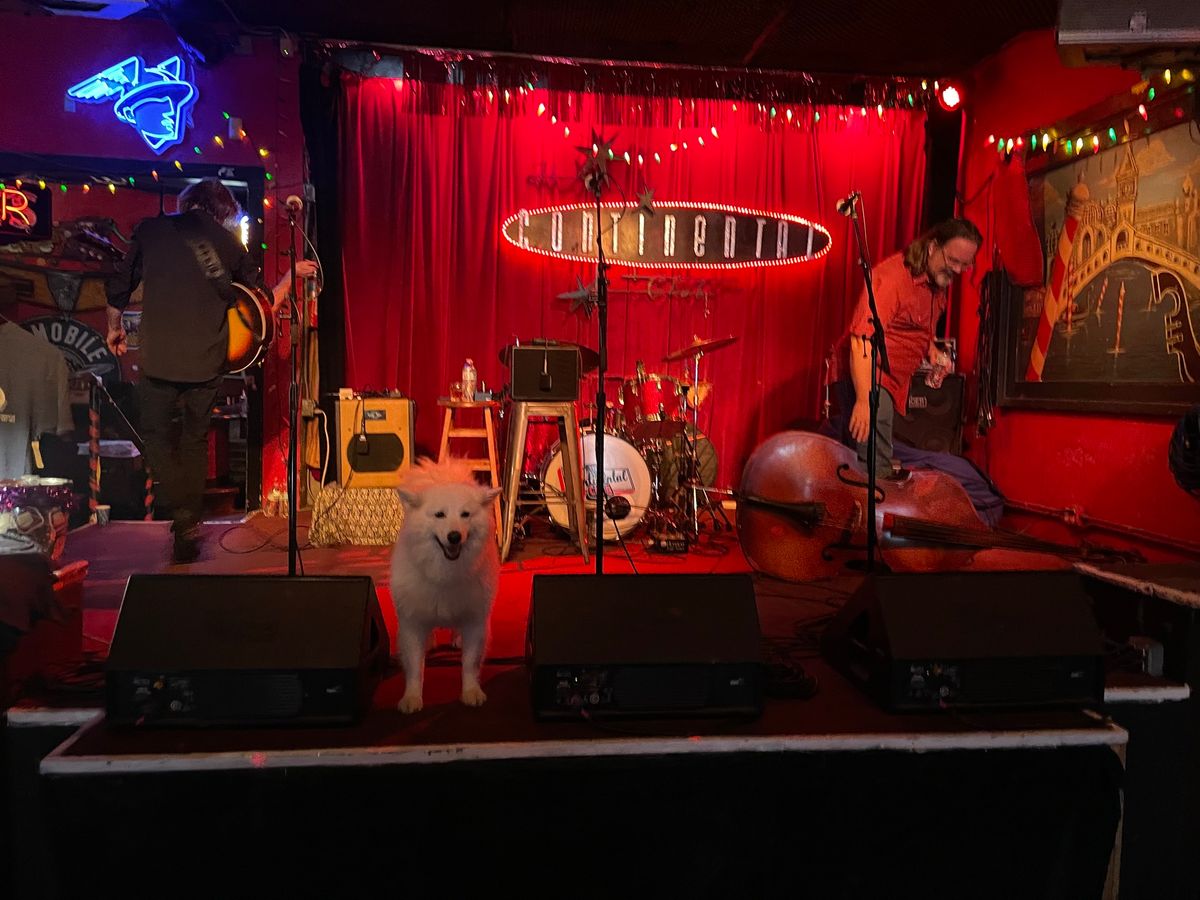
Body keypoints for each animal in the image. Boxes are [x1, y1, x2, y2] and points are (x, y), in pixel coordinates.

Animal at [391, 460, 499, 715]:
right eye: (439, 515)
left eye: (465, 514)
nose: (454, 536)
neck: (444, 573)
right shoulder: (412, 622)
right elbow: (414, 666)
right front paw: (412, 697)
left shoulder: (475, 620)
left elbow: (470, 662)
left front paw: (471, 692)